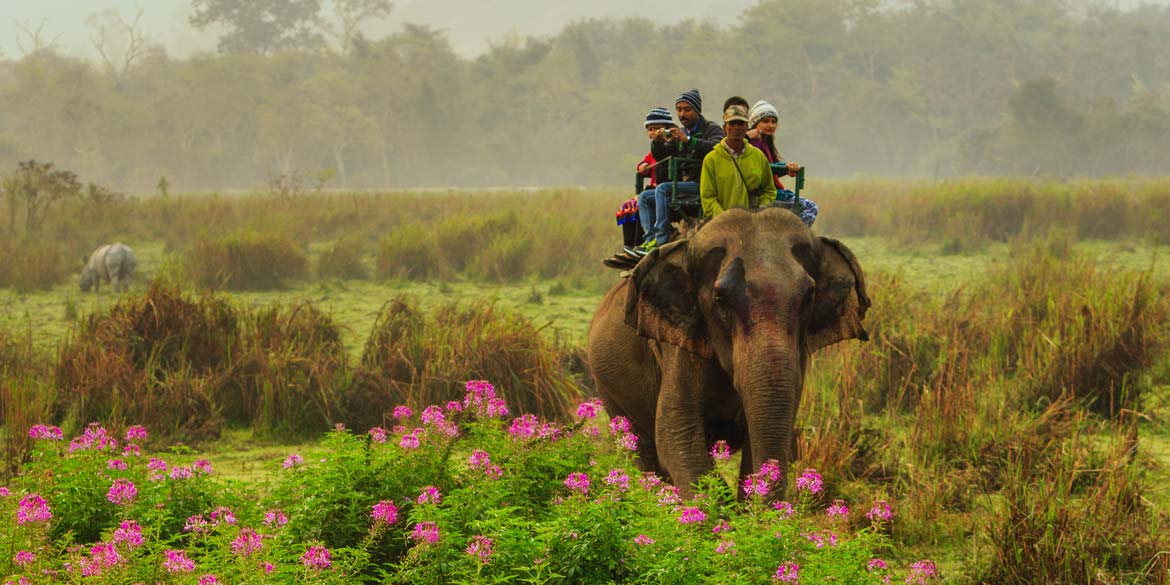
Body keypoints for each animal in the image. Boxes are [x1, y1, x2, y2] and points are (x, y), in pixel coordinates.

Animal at [585, 207, 870, 498]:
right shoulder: (679, 344)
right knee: (643, 450)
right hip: (607, 388)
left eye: (808, 298)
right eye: (720, 301)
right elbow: (676, 434)